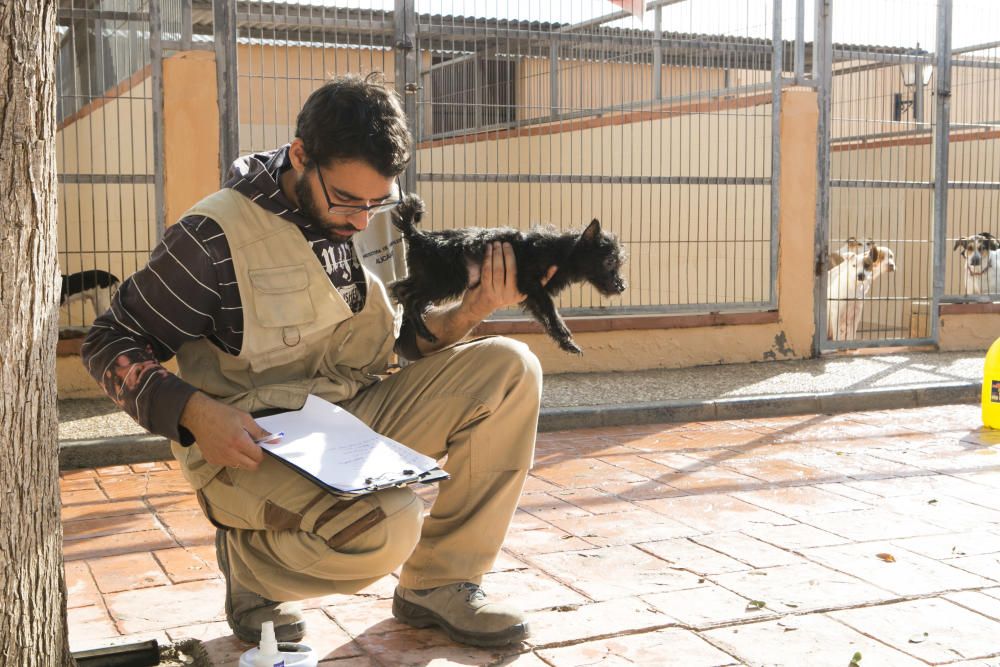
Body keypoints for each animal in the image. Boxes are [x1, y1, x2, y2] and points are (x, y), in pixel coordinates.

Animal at [390, 193, 624, 354]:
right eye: (609, 261)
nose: (622, 286)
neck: (560, 252)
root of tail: (420, 236)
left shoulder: (531, 295)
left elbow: (544, 318)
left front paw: (566, 344)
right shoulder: (531, 284)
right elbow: (550, 309)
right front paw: (565, 332)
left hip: (429, 279)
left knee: (401, 288)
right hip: (443, 281)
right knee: (409, 296)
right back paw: (423, 331)